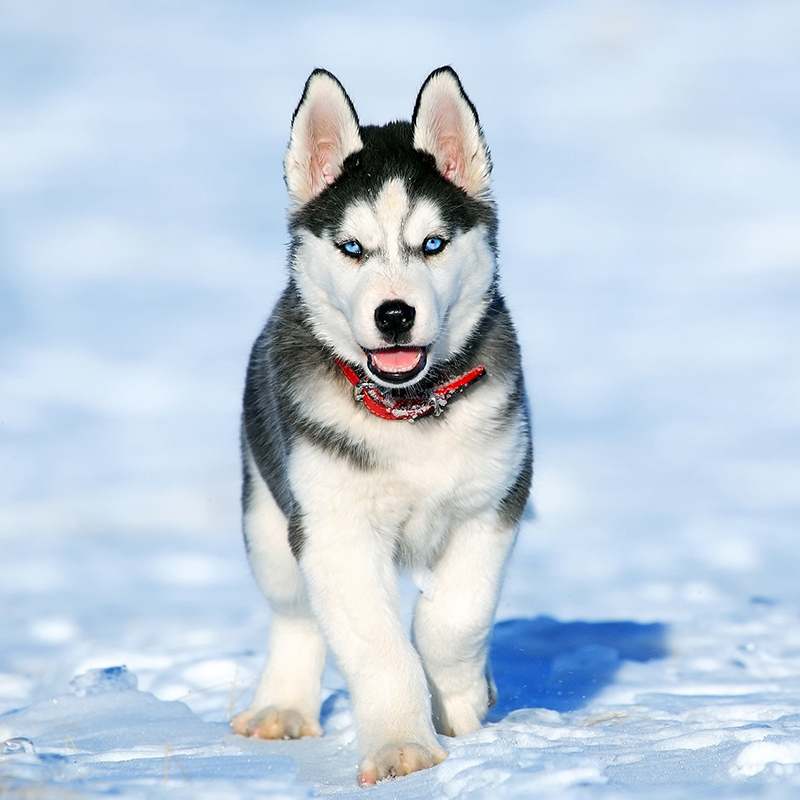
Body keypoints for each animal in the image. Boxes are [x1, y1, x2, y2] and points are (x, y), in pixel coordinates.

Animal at [230, 64, 532, 788]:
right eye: (352, 248)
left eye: (433, 244)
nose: (394, 314)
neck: (408, 410)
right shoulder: (333, 530)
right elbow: (377, 645)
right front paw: (403, 747)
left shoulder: (494, 502)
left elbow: (455, 617)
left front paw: (461, 698)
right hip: (267, 517)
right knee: (295, 615)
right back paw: (281, 707)